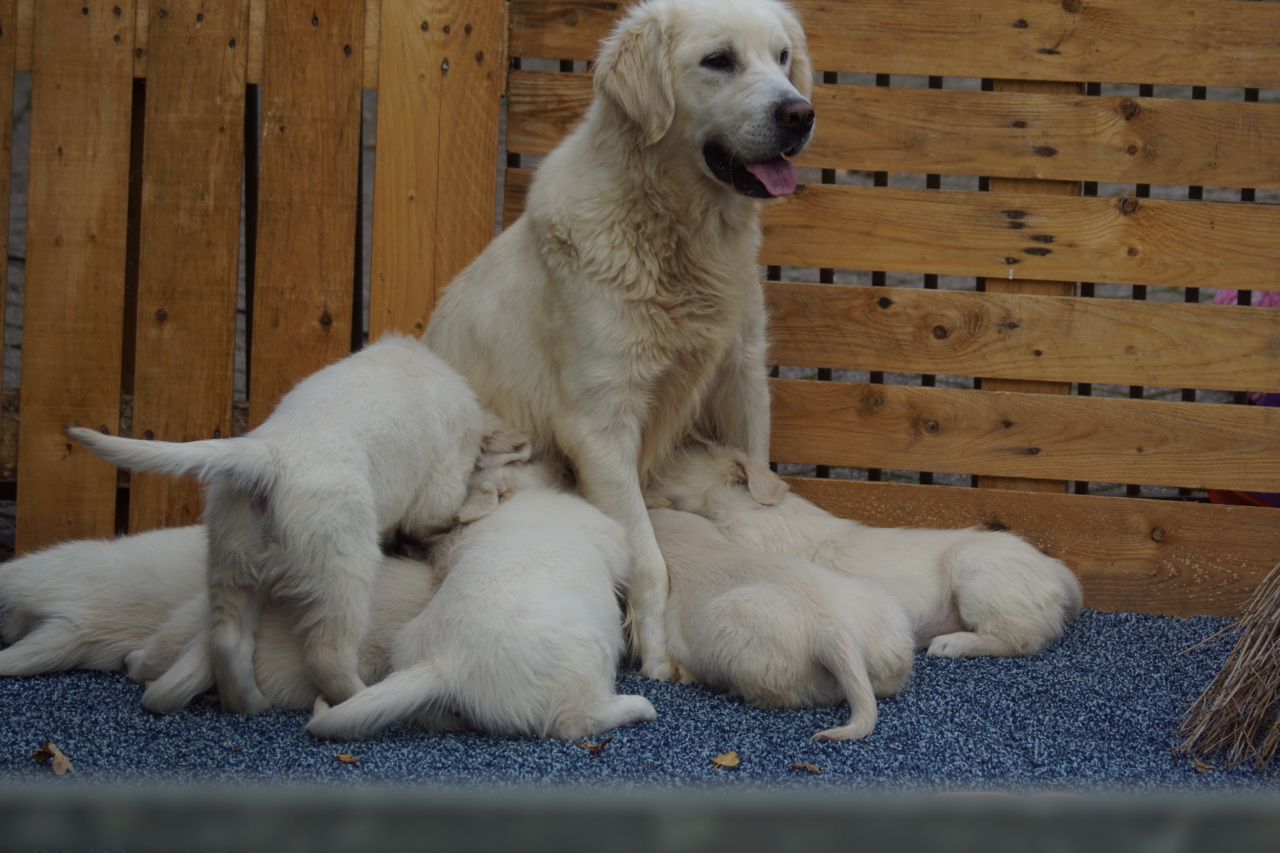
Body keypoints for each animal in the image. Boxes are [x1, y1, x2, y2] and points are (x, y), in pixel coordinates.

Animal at [67, 333, 485, 713]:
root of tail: (270, 457)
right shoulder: (442, 479)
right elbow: (436, 513)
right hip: (342, 574)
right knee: (327, 657)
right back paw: (356, 698)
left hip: (230, 562)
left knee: (228, 642)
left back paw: (249, 704)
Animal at [306, 459, 657, 741]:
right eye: (522, 463)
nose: (563, 465)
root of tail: (446, 663)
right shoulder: (605, 531)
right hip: (586, 656)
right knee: (573, 722)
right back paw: (640, 707)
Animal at [424, 0, 814, 679]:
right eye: (719, 60)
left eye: (782, 57)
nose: (799, 113)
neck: (679, 236)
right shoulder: (600, 426)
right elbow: (649, 558)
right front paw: (656, 652)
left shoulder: (741, 375)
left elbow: (755, 475)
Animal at [649, 445, 1085, 658]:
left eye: (668, 462)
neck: (748, 507)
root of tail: (1055, 569)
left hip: (973, 569)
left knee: (1023, 639)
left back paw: (952, 644)